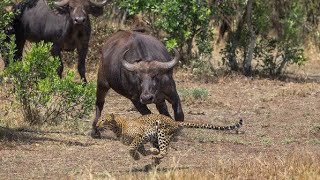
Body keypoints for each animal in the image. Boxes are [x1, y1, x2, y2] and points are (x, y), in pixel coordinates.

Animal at [95, 113, 242, 168]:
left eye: (103, 120)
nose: (96, 125)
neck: (118, 127)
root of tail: (175, 122)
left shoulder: (139, 136)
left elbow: (131, 149)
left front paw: (137, 157)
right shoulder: (141, 142)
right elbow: (143, 151)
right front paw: (150, 153)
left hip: (162, 132)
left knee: (165, 151)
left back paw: (156, 159)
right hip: (156, 137)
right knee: (162, 151)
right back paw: (154, 161)